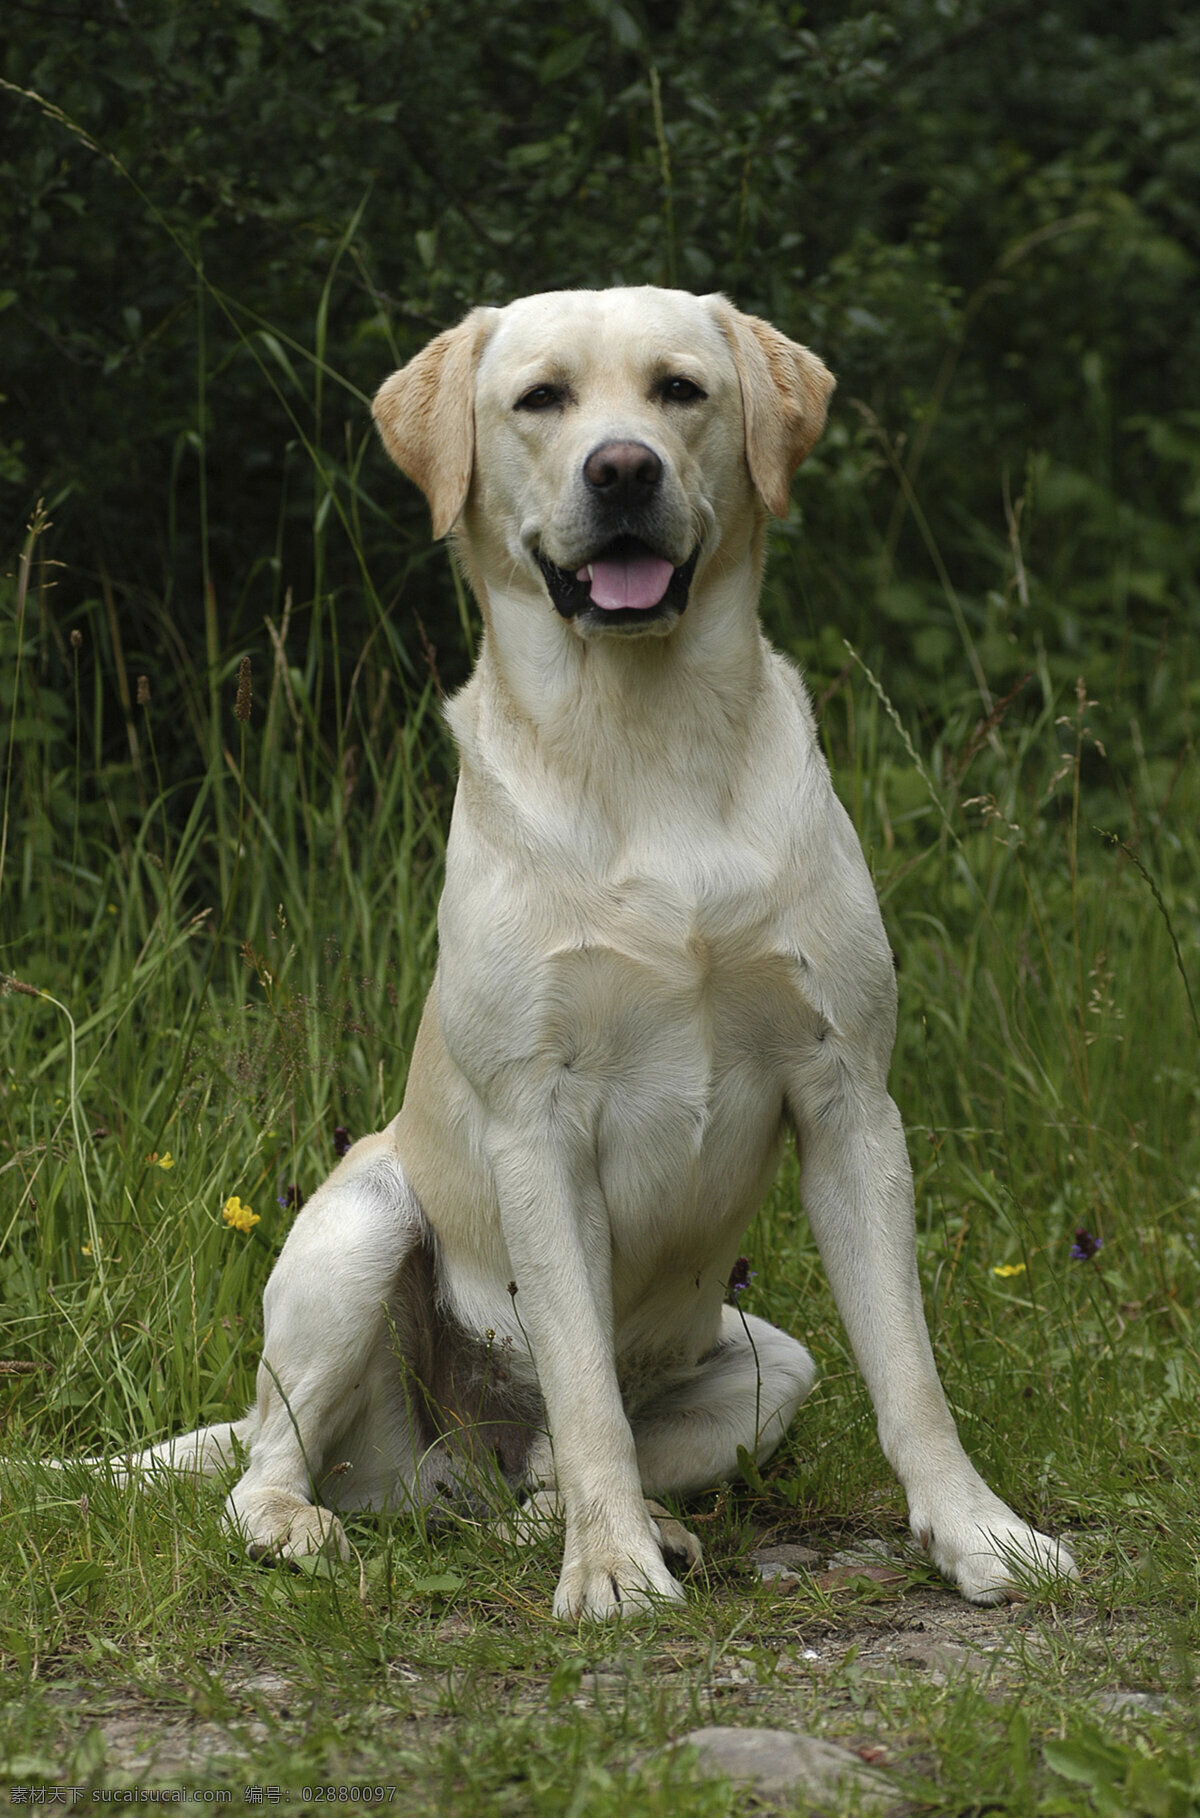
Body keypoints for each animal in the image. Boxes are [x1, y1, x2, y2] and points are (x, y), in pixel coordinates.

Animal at [124, 287, 1076, 1621]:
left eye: (681, 389)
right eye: (542, 399)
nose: (623, 468)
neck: (645, 735)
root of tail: (447, 1466)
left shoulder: (849, 1099)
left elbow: (910, 1372)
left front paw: (978, 1532)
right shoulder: (540, 1125)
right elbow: (582, 1393)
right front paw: (616, 1572)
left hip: (768, 1365)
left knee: (532, 1478)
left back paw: (589, 1525)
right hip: (361, 1227)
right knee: (278, 1467)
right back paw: (317, 1527)